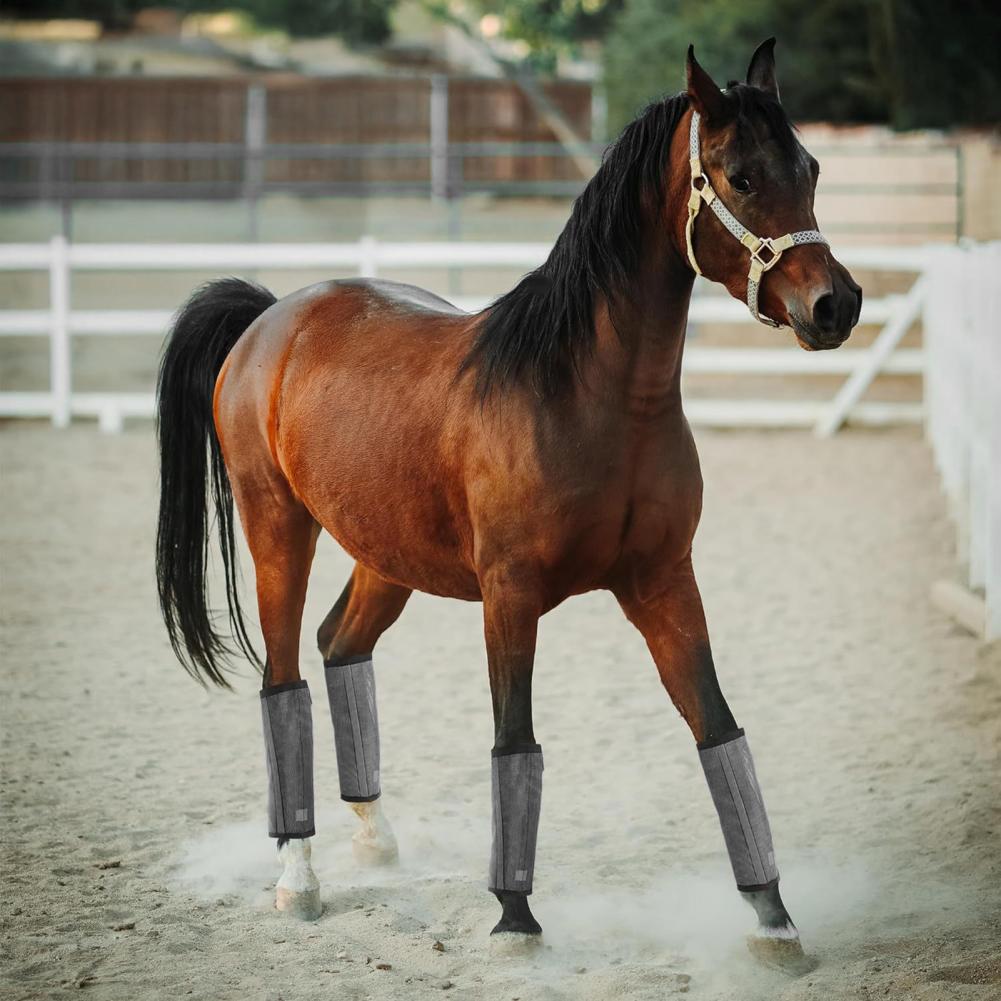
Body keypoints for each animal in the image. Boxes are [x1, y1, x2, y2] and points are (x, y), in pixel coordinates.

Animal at [155, 39, 861, 969]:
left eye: (808, 167)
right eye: (739, 176)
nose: (835, 304)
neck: (587, 398)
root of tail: (271, 318)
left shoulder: (665, 581)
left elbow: (717, 729)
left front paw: (773, 918)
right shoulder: (510, 596)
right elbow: (514, 739)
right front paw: (515, 917)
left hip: (385, 555)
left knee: (341, 647)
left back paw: (376, 841)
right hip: (279, 529)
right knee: (283, 679)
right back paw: (297, 880)